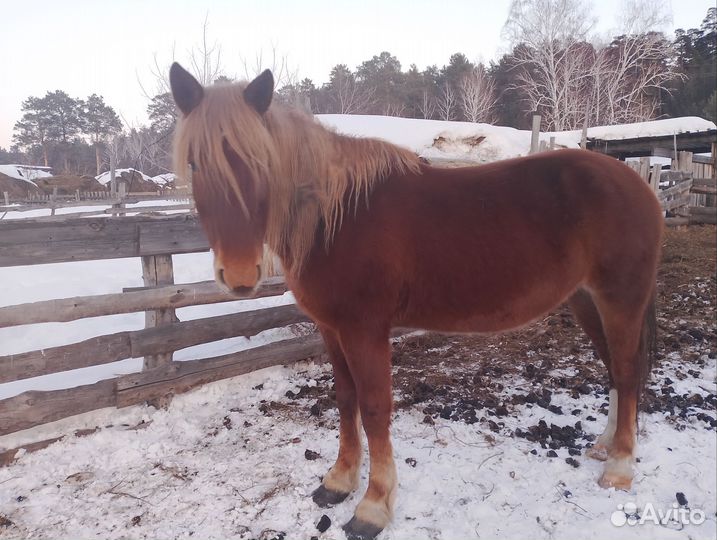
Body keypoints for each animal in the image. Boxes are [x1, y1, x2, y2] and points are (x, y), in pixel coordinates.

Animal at [169, 63, 662, 540]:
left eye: (261, 160)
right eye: (194, 164)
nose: (238, 275)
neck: (337, 216)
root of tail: (635, 182)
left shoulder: (365, 330)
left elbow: (373, 408)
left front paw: (372, 507)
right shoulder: (330, 329)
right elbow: (345, 399)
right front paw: (339, 481)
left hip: (620, 299)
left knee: (625, 371)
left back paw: (620, 467)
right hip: (586, 300)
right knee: (614, 369)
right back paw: (605, 446)